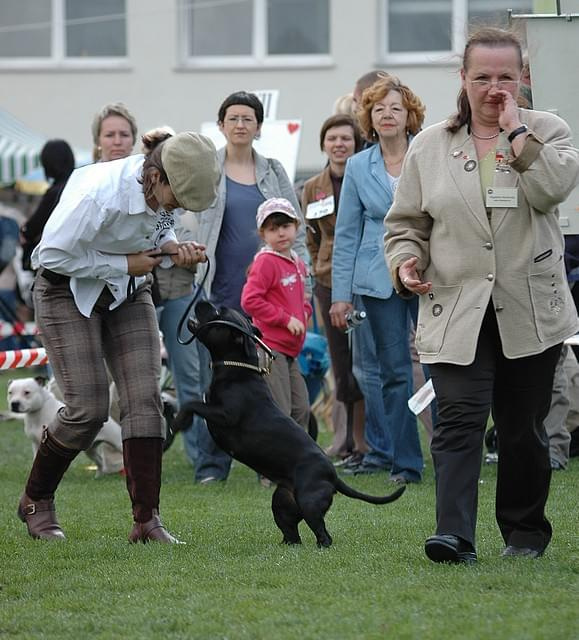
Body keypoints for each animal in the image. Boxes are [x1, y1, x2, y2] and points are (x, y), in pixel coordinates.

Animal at [174, 300, 406, 544]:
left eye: (218, 312)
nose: (202, 301)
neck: (237, 369)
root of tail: (332, 475)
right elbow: (193, 404)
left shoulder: (224, 414)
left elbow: (191, 404)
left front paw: (176, 423)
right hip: (282, 501)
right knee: (292, 532)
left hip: (309, 502)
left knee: (323, 534)